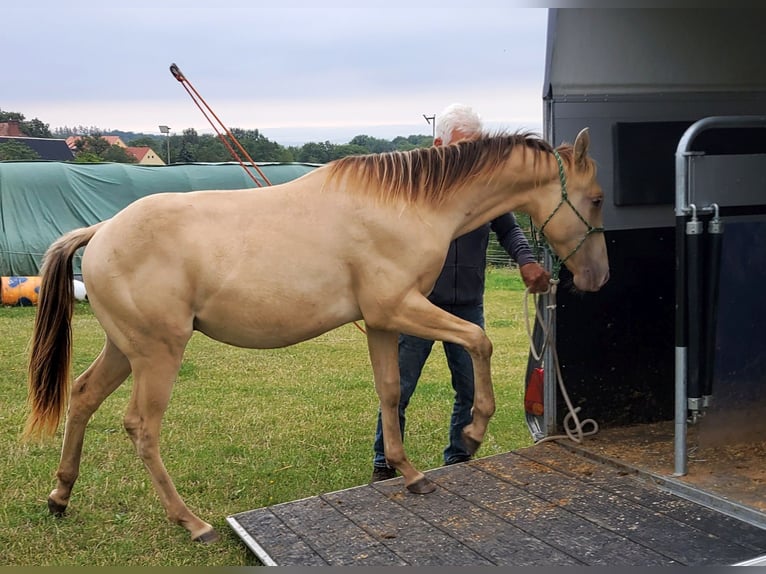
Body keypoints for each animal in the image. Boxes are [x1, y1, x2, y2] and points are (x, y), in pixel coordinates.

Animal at [24, 129, 608, 543]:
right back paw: (192, 523)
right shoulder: (401, 308)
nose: (596, 278)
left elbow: (391, 392)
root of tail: (102, 230)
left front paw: (408, 472)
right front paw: (473, 431)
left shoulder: (382, 322)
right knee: (141, 427)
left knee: (82, 396)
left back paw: (60, 494)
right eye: (599, 198)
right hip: (158, 354)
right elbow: (478, 341)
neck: (406, 206)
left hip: (125, 350)